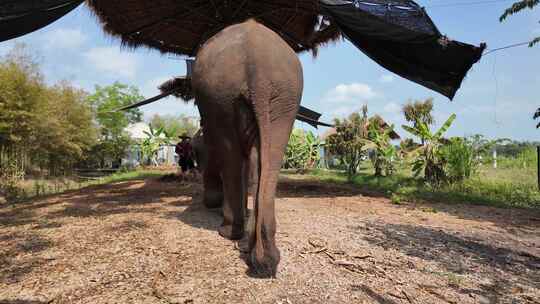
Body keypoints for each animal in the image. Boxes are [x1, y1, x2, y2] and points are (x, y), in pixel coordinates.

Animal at [192, 18, 304, 276]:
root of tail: (256, 62)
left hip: (219, 97)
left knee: (230, 155)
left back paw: (230, 233)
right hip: (284, 98)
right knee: (269, 157)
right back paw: (265, 255)